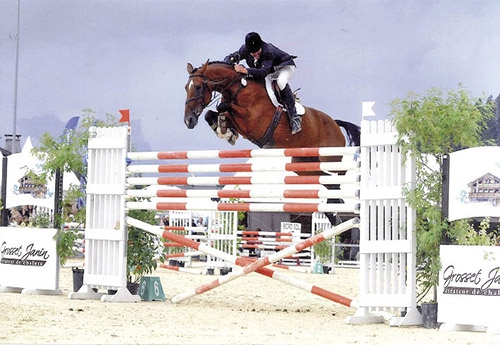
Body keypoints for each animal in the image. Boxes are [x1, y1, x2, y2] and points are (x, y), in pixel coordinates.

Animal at [184, 60, 360, 224]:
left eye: (198, 87)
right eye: (186, 87)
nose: (189, 121)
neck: (239, 88)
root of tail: (335, 123)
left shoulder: (253, 120)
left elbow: (223, 106)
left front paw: (225, 129)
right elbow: (212, 113)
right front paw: (225, 130)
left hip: (329, 158)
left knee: (336, 179)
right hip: (303, 164)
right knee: (327, 182)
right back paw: (335, 215)